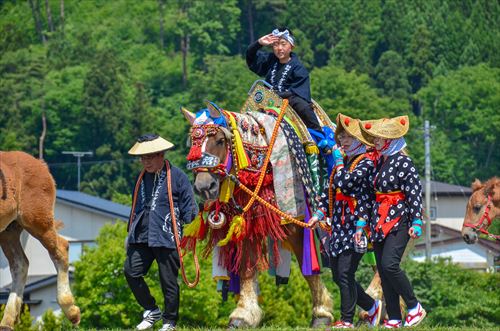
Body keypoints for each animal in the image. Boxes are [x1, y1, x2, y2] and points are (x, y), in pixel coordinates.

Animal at [0, 152, 79, 330]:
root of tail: (41, 164)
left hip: (37, 221)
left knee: (61, 248)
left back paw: (71, 311)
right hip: (9, 231)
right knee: (20, 264)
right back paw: (7, 322)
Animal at [182, 107, 334, 330]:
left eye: (220, 140)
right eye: (192, 142)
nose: (204, 186)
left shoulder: (293, 222)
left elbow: (307, 266)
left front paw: (322, 313)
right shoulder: (246, 222)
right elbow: (247, 267)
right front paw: (243, 315)